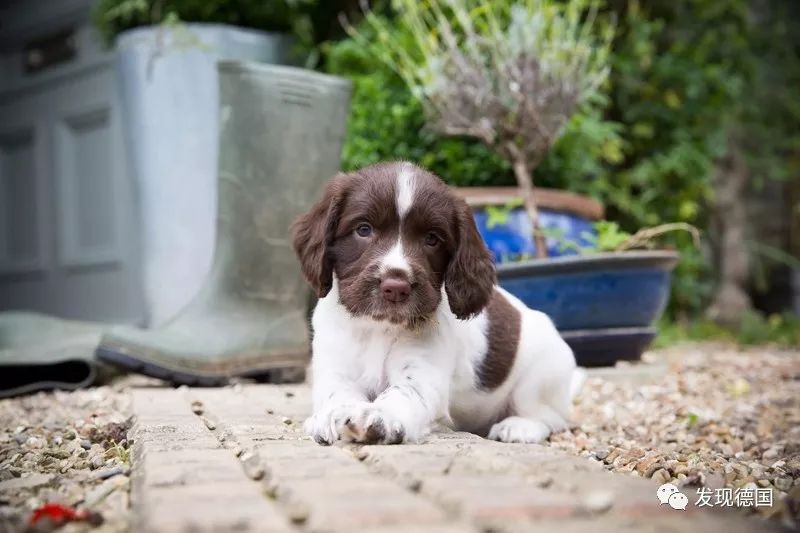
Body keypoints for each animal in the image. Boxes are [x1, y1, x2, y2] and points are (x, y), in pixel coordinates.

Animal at [290, 162, 580, 444]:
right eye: (363, 229)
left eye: (432, 238)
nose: (396, 287)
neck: (378, 329)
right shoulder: (335, 368)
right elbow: (337, 394)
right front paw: (332, 415)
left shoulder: (422, 376)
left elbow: (401, 394)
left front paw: (380, 417)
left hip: (538, 378)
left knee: (550, 418)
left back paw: (519, 427)